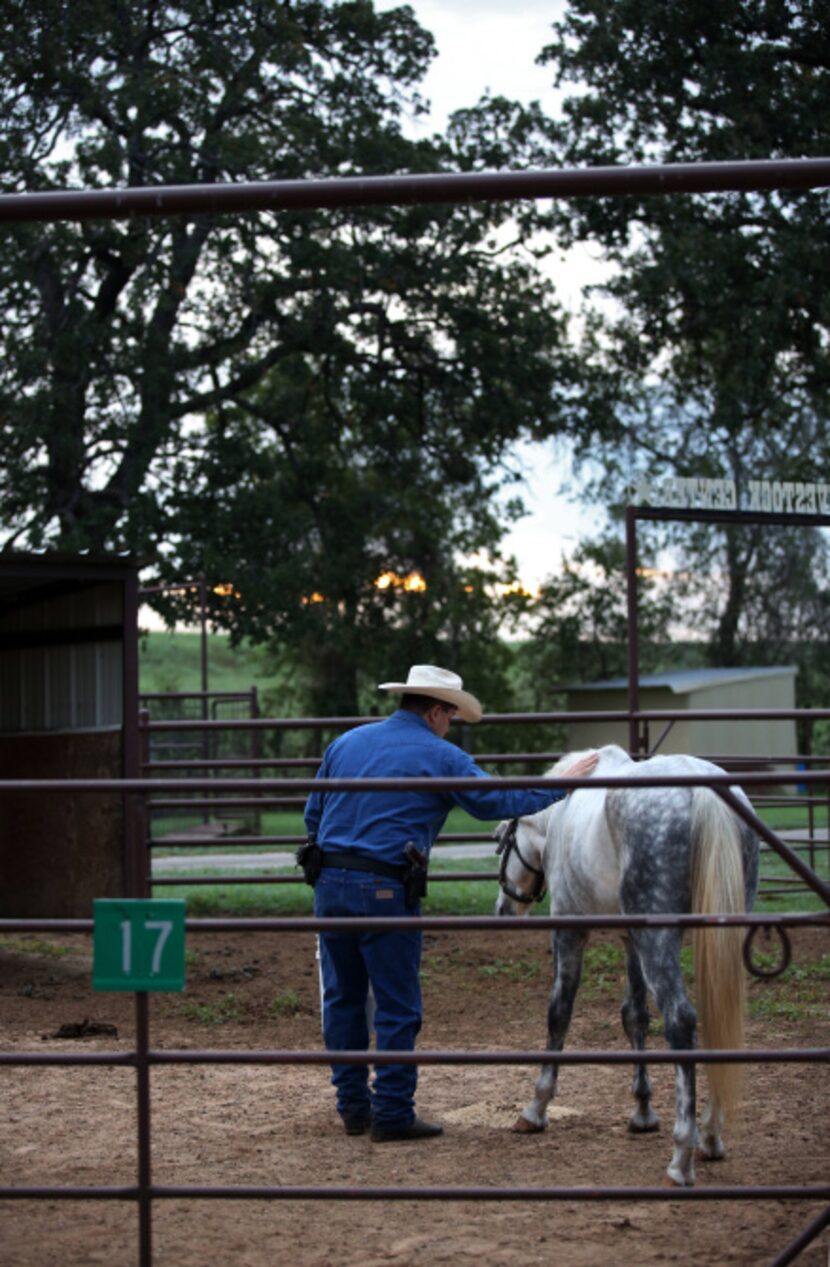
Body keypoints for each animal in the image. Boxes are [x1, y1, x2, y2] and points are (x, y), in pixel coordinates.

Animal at [496, 739, 765, 1185]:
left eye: (502, 840)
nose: (503, 909)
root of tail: (703, 789)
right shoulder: (631, 940)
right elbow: (635, 1016)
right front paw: (642, 1111)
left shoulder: (569, 930)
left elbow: (559, 1014)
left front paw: (535, 1108)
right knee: (718, 1015)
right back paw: (710, 1137)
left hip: (659, 940)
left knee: (681, 1021)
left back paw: (681, 1157)